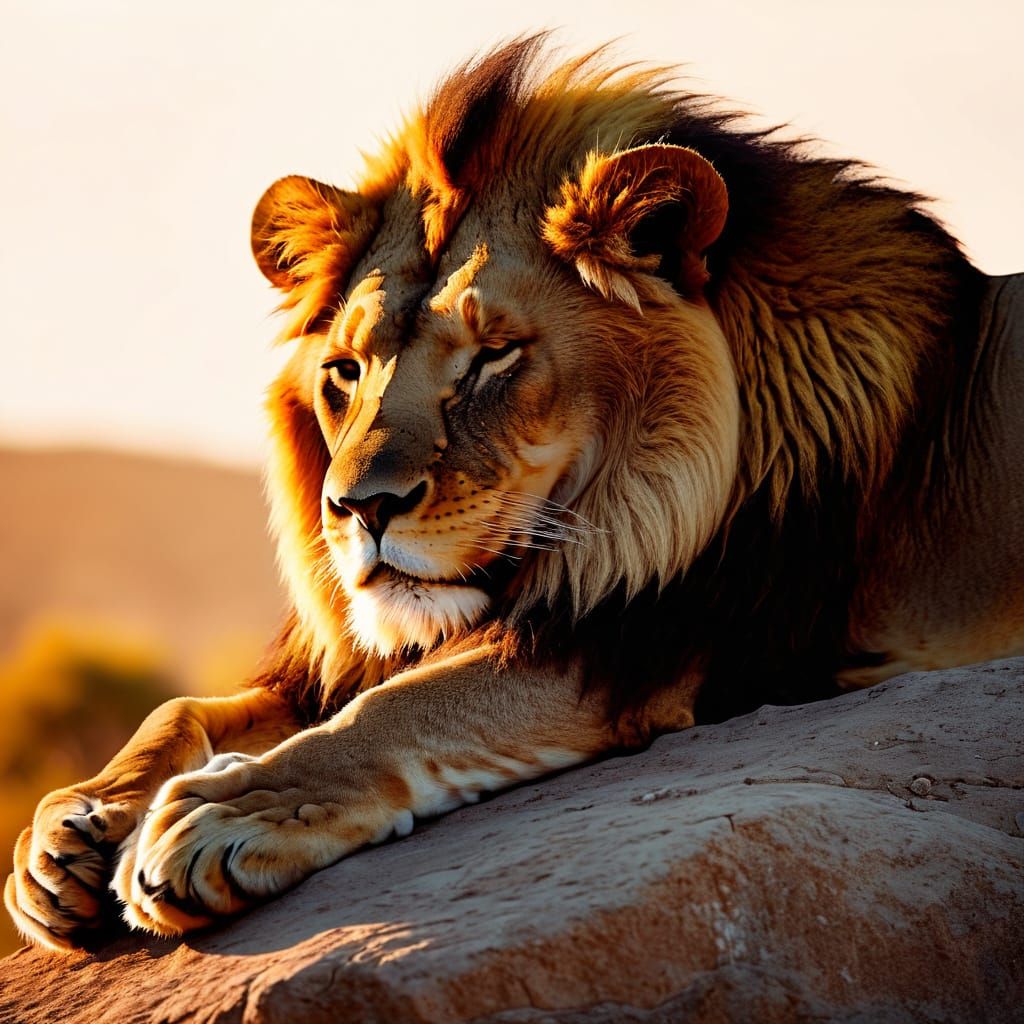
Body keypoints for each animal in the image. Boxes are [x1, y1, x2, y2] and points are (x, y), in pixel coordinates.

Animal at [7, 37, 1023, 951]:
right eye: (345, 371)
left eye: (494, 355)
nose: (361, 509)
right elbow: (194, 707)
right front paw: (72, 825)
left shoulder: (657, 634)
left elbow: (405, 706)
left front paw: (218, 816)